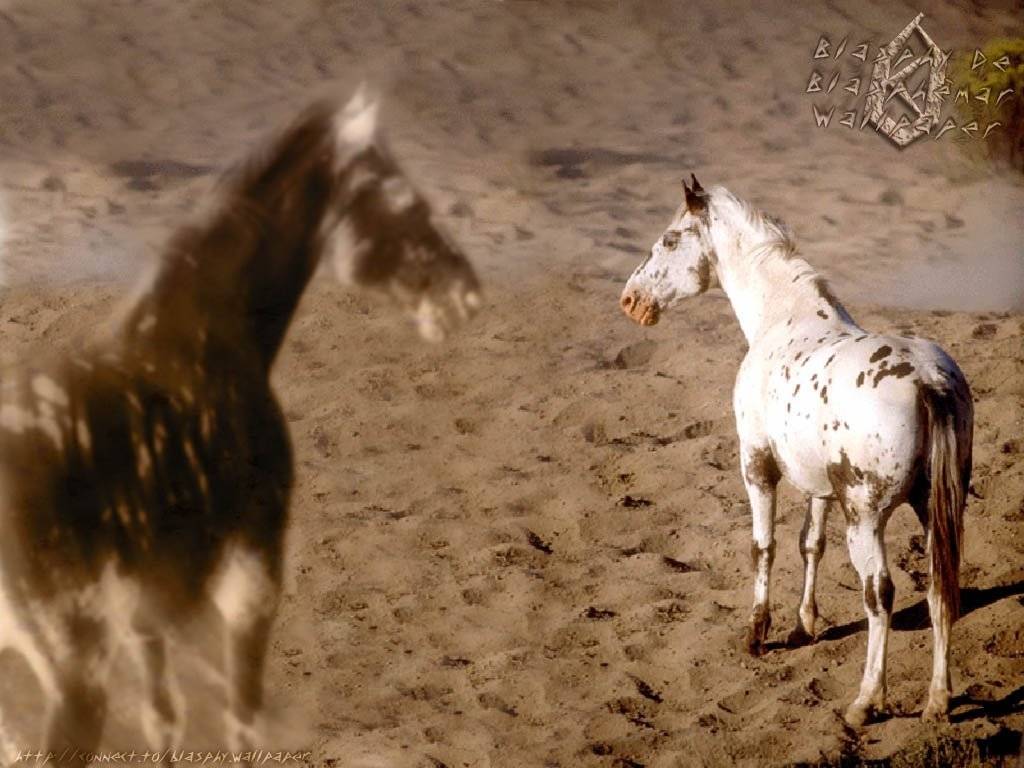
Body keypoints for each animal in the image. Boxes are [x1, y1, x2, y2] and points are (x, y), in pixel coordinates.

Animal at [0, 87, 480, 755]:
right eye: (405, 200)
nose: (466, 294)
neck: (205, 333)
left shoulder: (148, 606)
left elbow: (164, 719)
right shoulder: (252, 577)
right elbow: (241, 722)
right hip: (74, 670)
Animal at [619, 177, 972, 727]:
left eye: (670, 240)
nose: (631, 300)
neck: (784, 319)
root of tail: (928, 381)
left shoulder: (757, 466)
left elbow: (764, 546)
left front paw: (757, 634)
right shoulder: (819, 485)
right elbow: (811, 544)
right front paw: (805, 624)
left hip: (866, 517)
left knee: (880, 595)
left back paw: (866, 701)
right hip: (934, 508)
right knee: (940, 588)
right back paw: (937, 702)